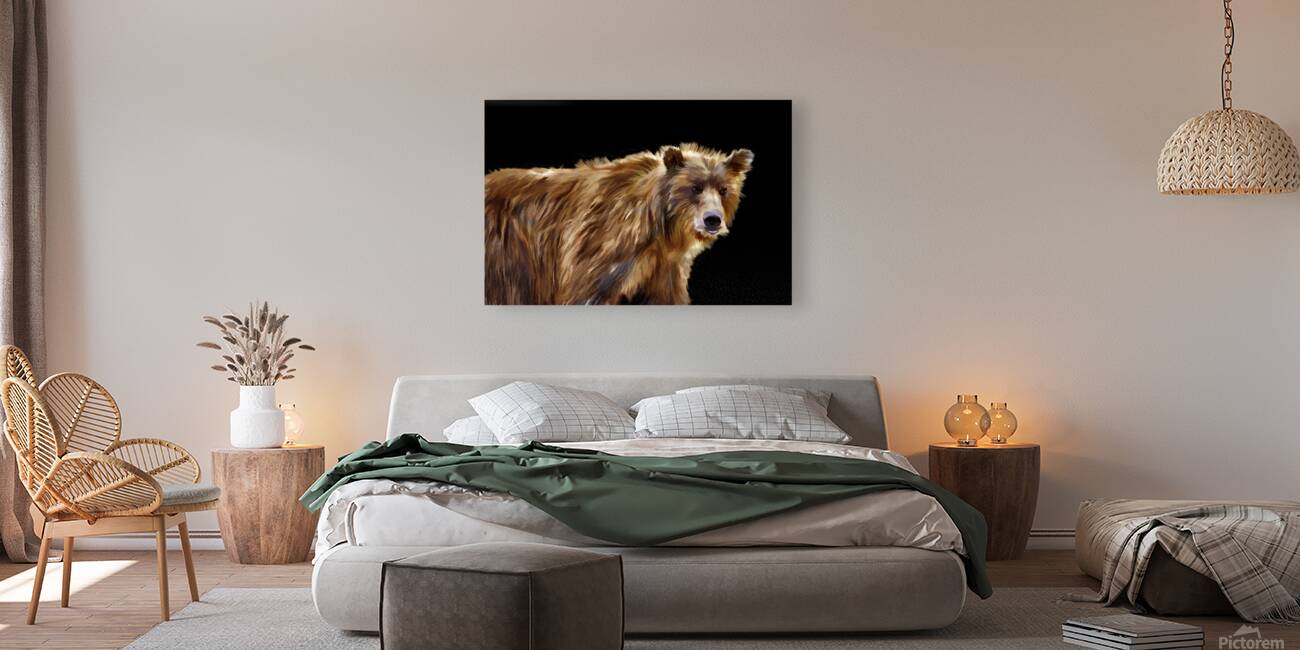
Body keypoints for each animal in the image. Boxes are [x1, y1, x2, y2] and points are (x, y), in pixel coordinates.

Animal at [485, 143, 754, 304]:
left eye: (723, 189)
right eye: (695, 187)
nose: (712, 219)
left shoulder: (665, 266)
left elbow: (666, 295)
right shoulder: (599, 247)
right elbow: (586, 291)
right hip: (509, 256)